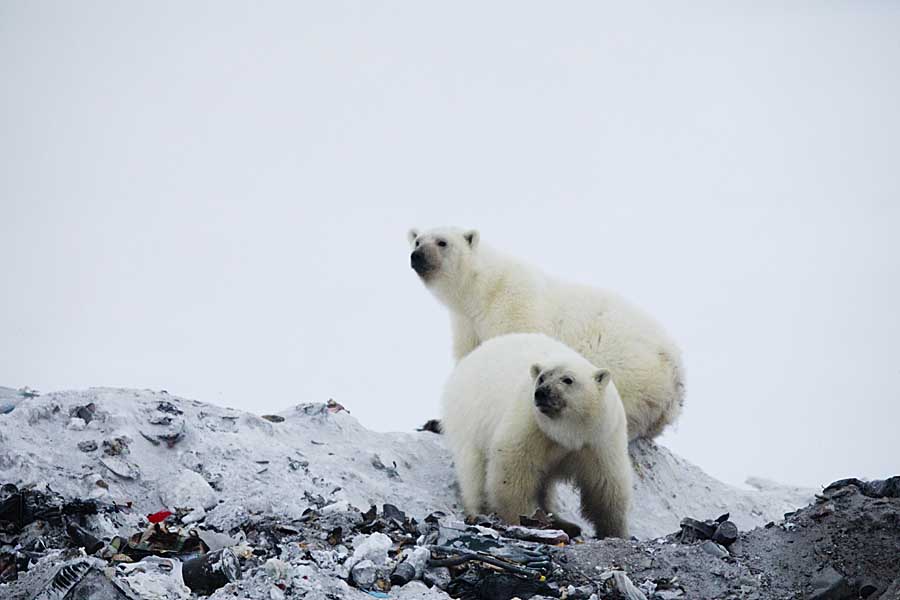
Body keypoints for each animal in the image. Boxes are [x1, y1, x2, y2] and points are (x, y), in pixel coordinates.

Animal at [408, 225, 684, 440]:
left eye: (442, 242)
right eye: (417, 239)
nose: (416, 255)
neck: (482, 290)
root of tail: (677, 377)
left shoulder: (514, 305)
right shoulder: (467, 323)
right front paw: (436, 422)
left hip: (629, 370)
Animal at [440, 332, 628, 540]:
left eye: (568, 379)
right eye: (541, 378)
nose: (541, 393)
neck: (569, 434)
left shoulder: (599, 438)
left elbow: (605, 483)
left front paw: (615, 531)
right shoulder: (531, 425)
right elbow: (513, 470)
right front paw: (522, 519)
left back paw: (563, 522)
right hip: (468, 420)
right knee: (473, 470)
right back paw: (479, 511)